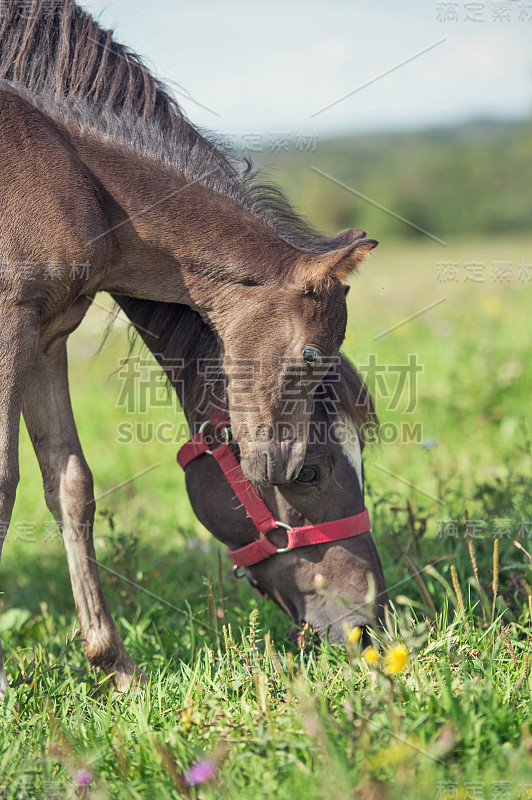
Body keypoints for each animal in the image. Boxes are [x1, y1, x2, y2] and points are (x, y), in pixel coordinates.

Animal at [0, 0, 380, 688]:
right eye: (312, 473)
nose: (369, 627)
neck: (68, 169)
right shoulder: (9, 317)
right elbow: (4, 480)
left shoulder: (44, 334)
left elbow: (70, 484)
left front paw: (116, 667)